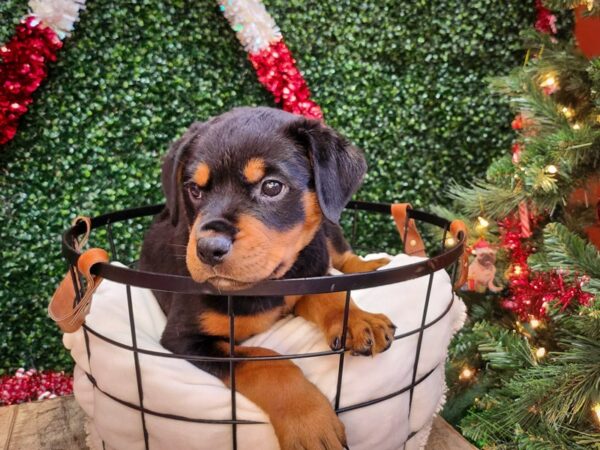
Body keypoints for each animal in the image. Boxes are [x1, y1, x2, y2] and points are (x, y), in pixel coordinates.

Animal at [139, 107, 396, 448]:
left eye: (272, 187)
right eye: (194, 190)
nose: (208, 249)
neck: (269, 284)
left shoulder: (308, 277)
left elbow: (331, 292)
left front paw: (359, 319)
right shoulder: (186, 338)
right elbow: (265, 360)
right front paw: (309, 421)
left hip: (326, 230)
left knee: (342, 256)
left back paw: (373, 265)